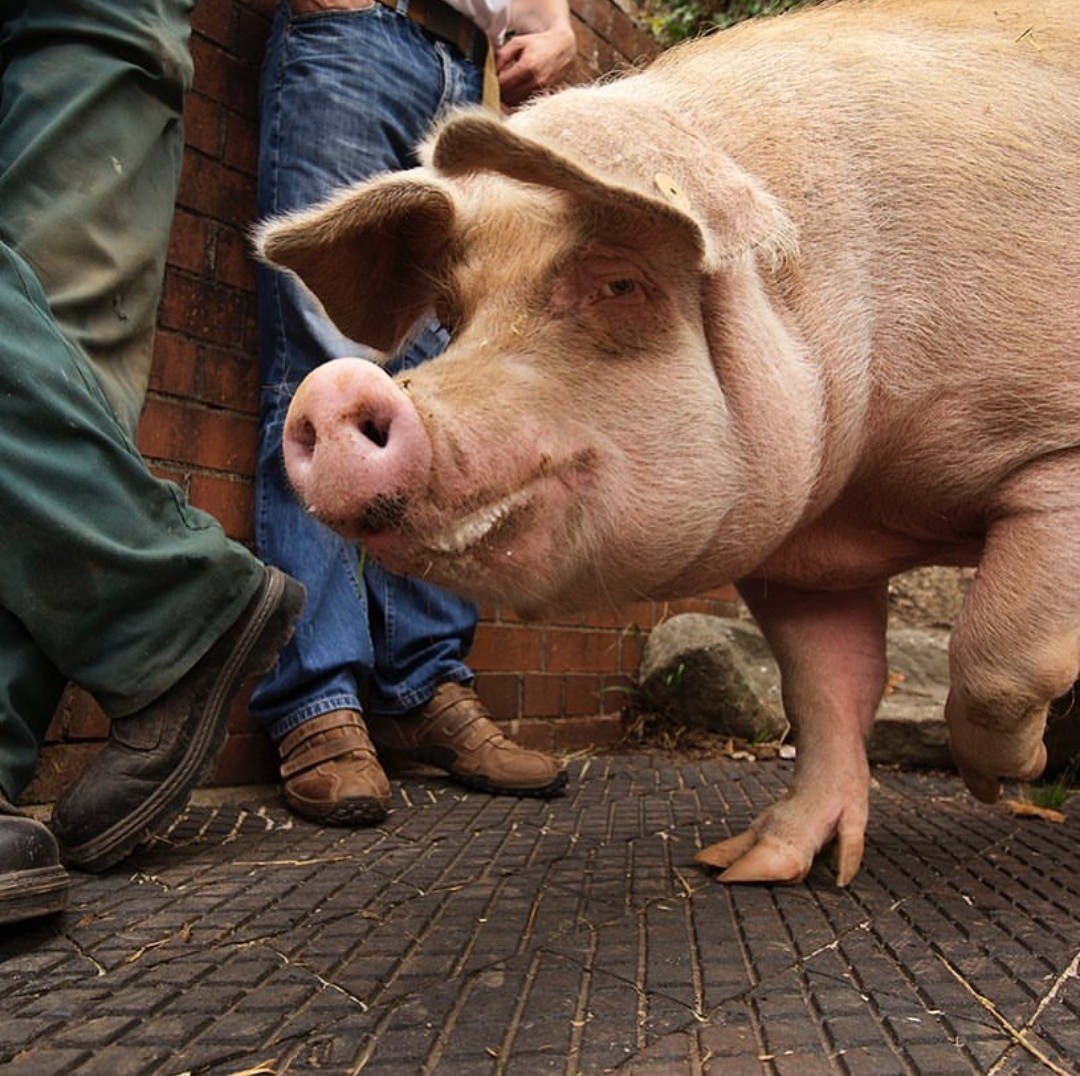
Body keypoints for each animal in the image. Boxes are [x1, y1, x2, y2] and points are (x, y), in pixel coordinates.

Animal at [257, 2, 1080, 890]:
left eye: (620, 284)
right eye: (448, 316)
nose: (334, 388)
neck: (875, 498)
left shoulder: (1054, 450)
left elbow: (997, 651)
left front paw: (1005, 778)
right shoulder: (801, 557)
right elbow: (826, 692)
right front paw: (747, 868)